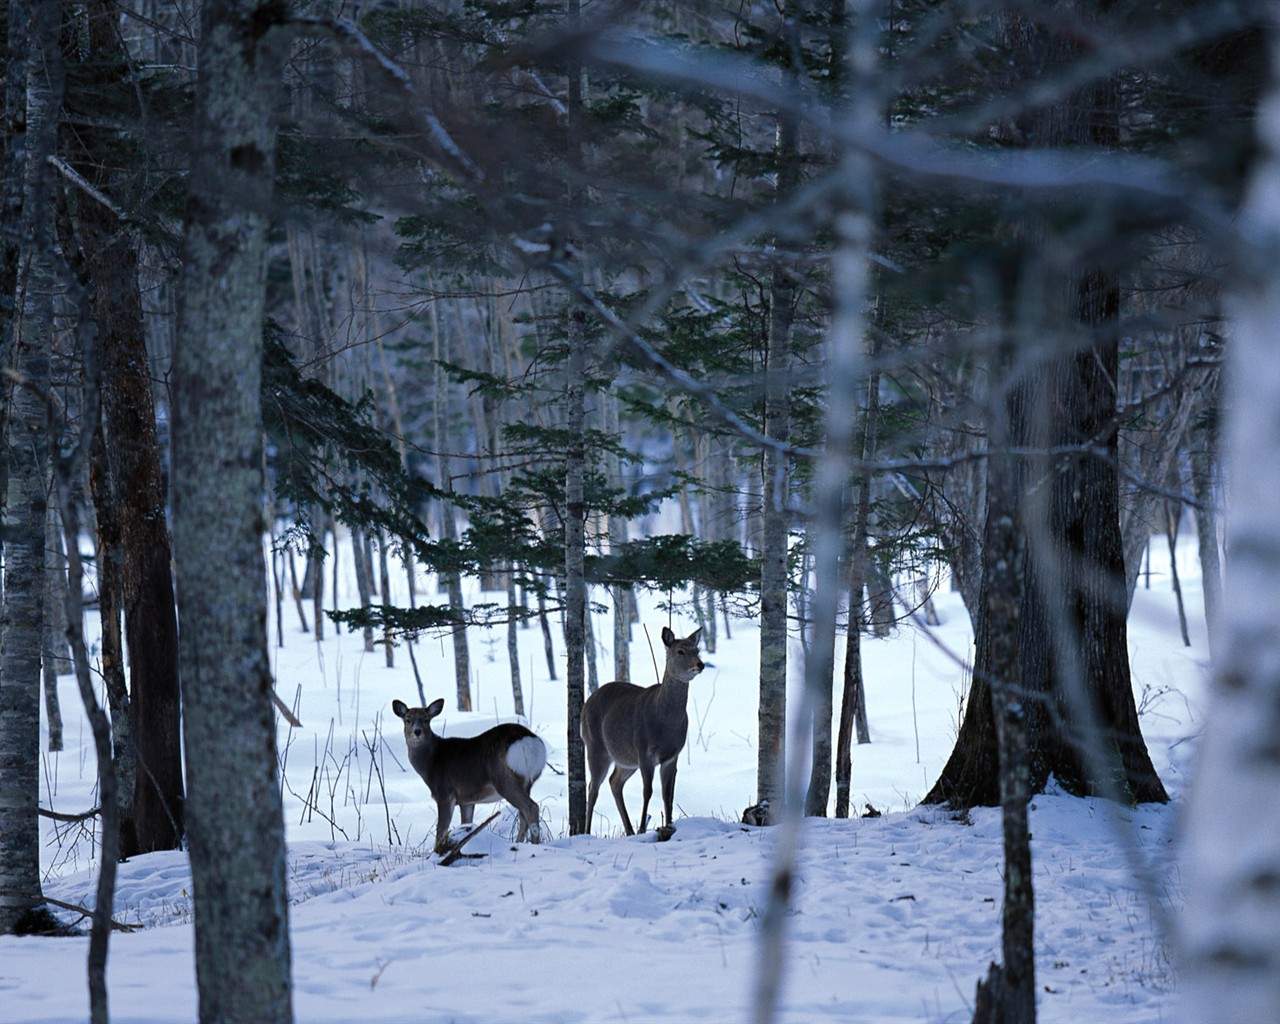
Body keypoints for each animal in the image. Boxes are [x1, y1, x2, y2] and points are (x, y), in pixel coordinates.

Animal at [391, 696, 547, 855]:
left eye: (426, 719)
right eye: (407, 719)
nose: (417, 732)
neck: (431, 762)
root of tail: (528, 741)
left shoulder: (445, 793)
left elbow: (441, 829)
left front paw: (437, 852)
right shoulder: (467, 799)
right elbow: (466, 825)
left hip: (504, 780)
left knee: (531, 807)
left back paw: (535, 846)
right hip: (527, 782)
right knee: (523, 814)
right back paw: (518, 845)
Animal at [583, 627, 706, 834]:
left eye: (697, 650)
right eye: (680, 651)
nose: (700, 664)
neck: (666, 723)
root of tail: (586, 703)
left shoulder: (672, 756)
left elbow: (668, 794)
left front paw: (669, 824)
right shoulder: (644, 751)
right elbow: (647, 791)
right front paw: (642, 828)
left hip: (625, 759)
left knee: (614, 782)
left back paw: (629, 830)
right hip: (595, 746)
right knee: (593, 788)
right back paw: (586, 832)